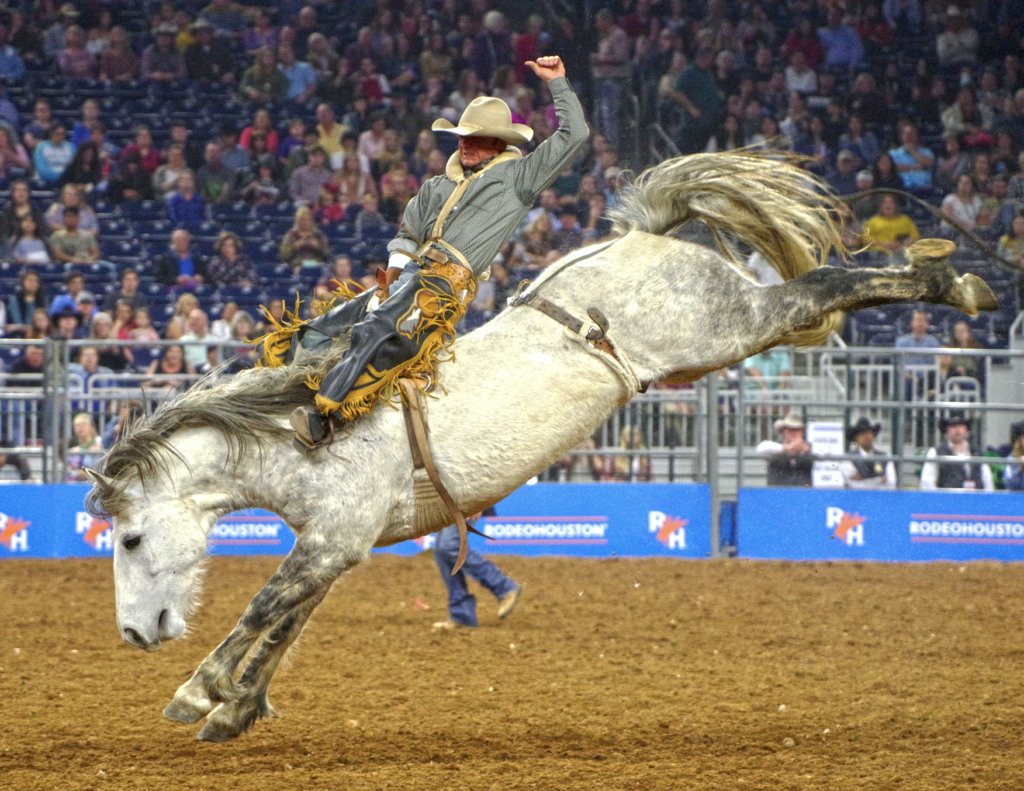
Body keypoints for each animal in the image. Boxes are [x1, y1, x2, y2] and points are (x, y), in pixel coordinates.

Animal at [83, 152, 995, 741]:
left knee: (828, 284)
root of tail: (644, 237)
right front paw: (236, 709)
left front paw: (197, 691)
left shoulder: (332, 535)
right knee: (822, 295)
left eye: (129, 537)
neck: (303, 428)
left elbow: (264, 608)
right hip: (724, 339)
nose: (130, 633)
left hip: (732, 323)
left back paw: (952, 279)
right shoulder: (341, 543)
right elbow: (288, 622)